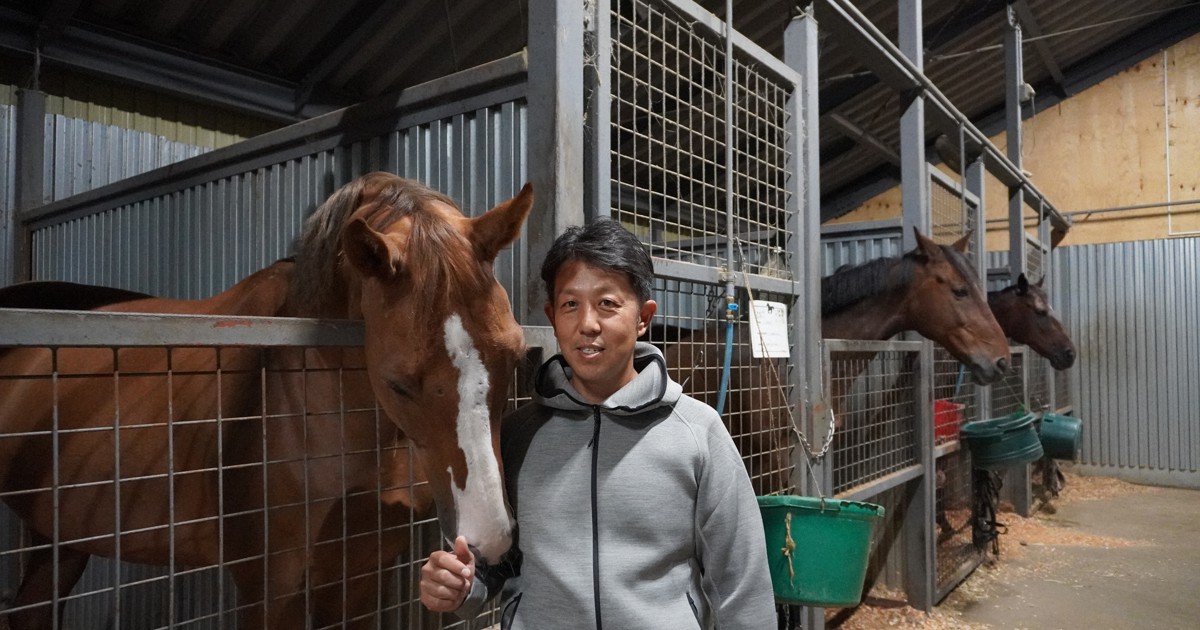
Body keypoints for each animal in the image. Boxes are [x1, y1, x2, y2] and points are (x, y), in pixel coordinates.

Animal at [0, 172, 532, 629]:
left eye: (512, 355)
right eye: (398, 383)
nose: (491, 540)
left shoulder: (359, 575)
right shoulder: (271, 587)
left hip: (60, 536)